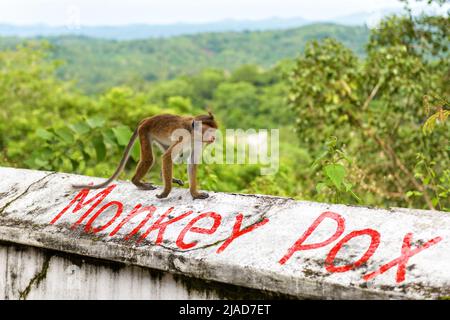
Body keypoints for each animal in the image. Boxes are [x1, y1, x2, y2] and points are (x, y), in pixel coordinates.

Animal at [73, 111, 219, 199]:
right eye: (209, 131)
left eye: (214, 131)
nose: (213, 138)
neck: (193, 134)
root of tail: (148, 118)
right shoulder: (183, 137)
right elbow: (167, 157)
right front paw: (166, 192)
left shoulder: (199, 142)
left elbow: (192, 162)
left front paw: (195, 193)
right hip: (144, 131)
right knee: (150, 159)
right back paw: (136, 181)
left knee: (169, 154)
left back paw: (163, 176)